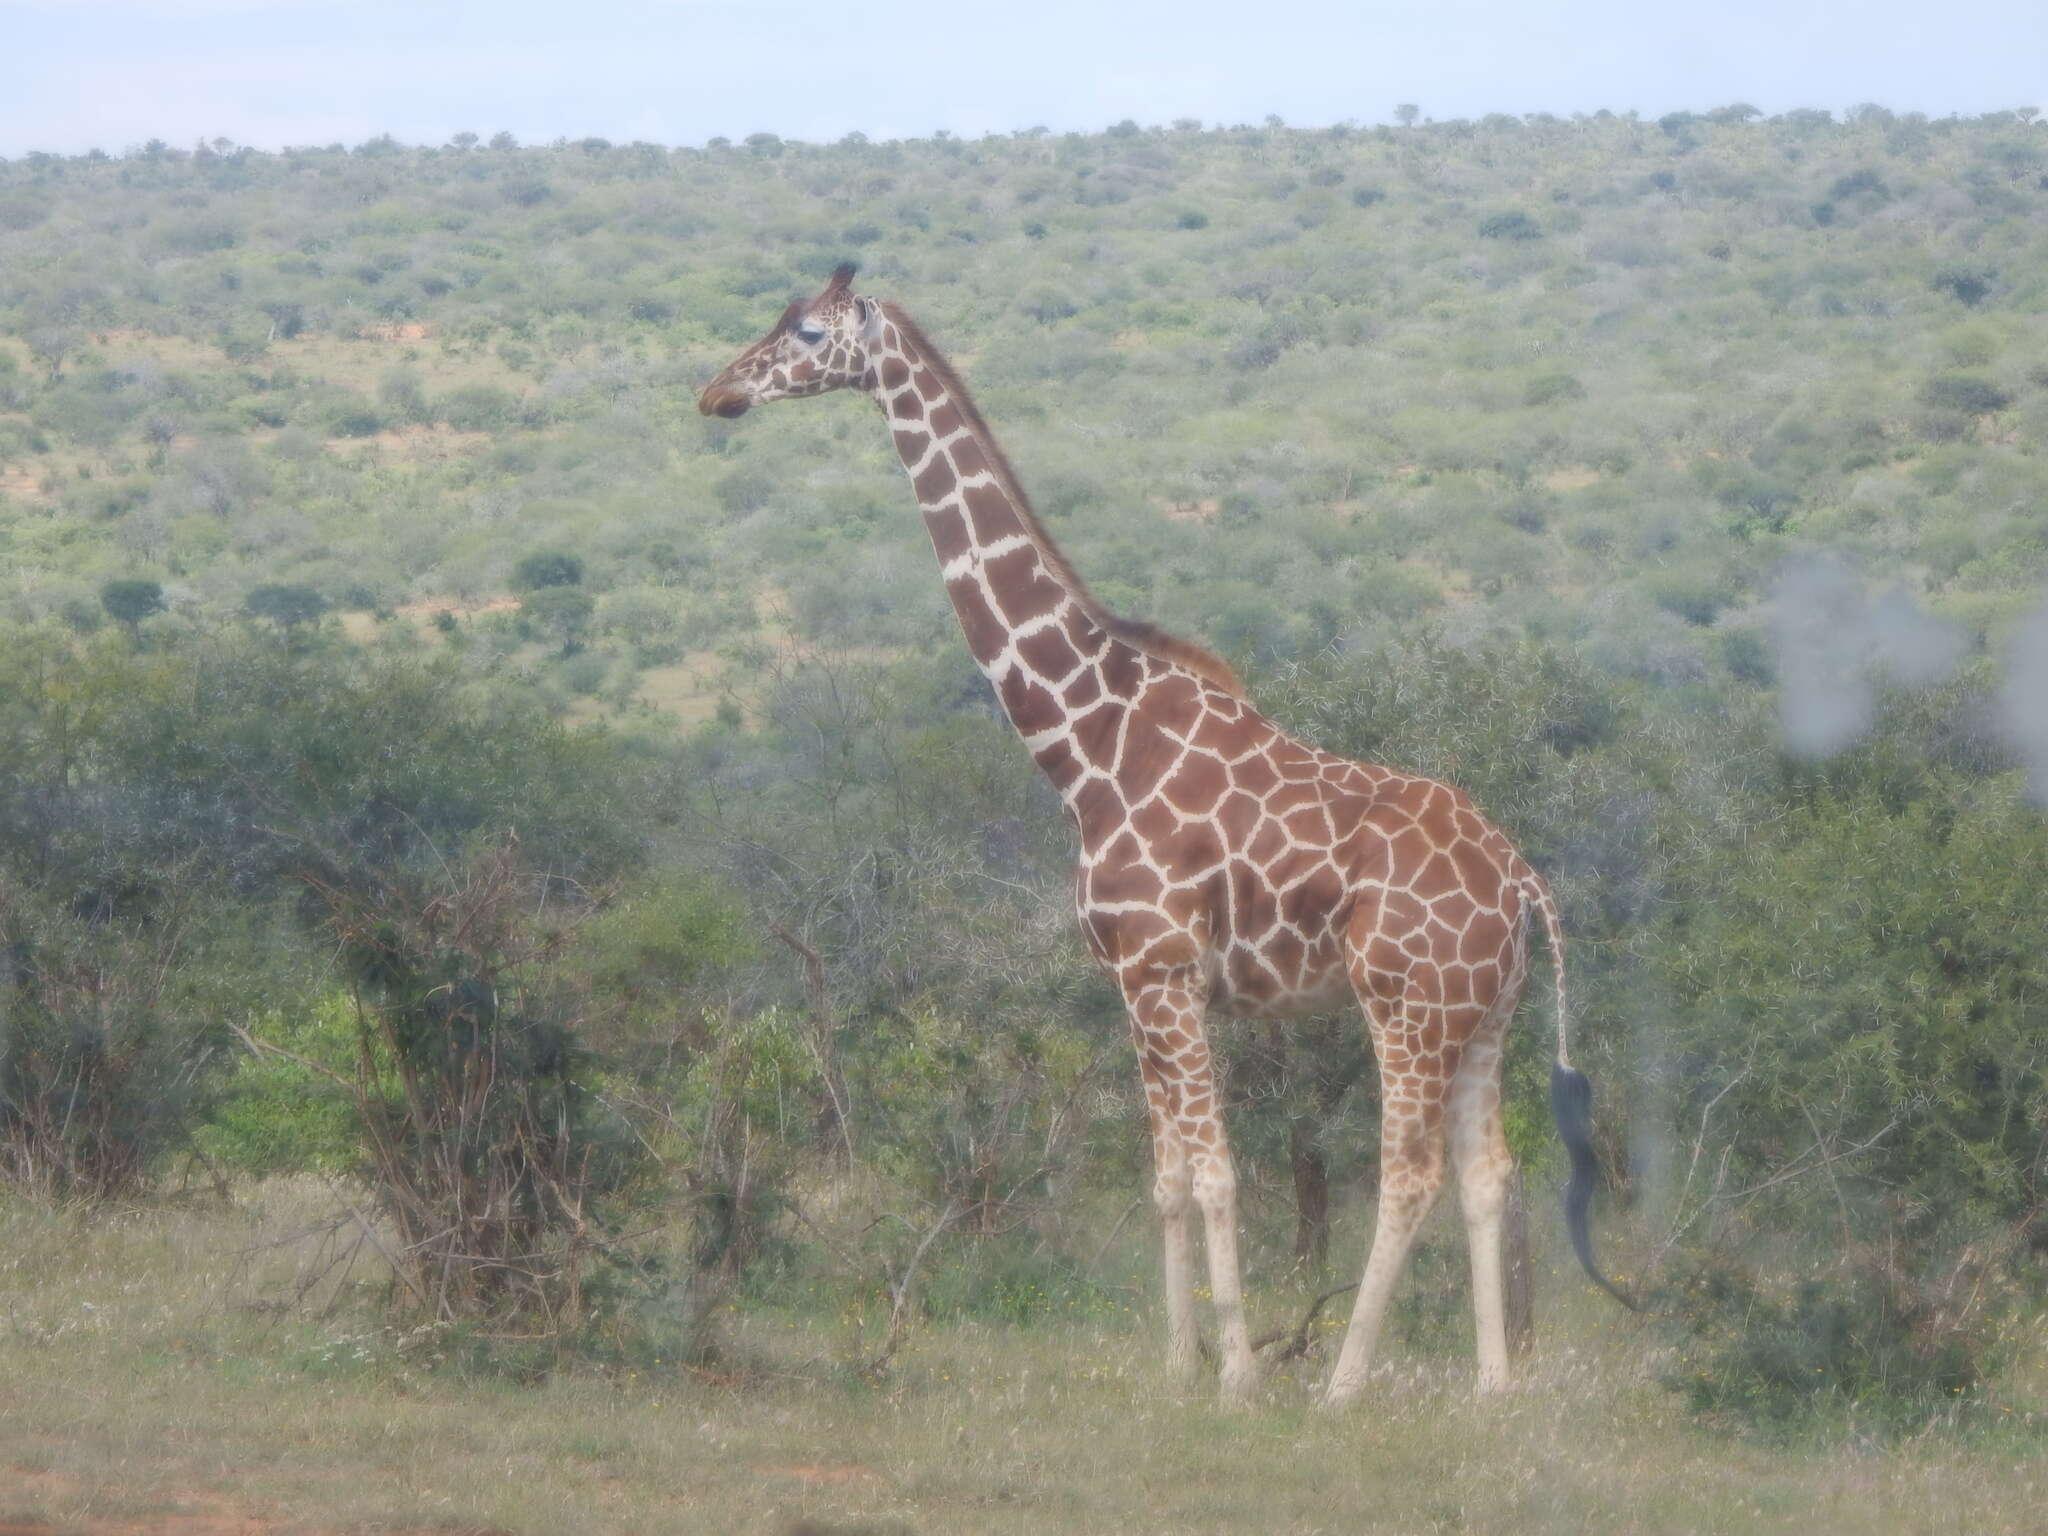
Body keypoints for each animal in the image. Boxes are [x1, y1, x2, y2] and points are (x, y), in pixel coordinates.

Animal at [704, 264, 1630, 1409]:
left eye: (806, 331)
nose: (718, 392)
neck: (1085, 740)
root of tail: (1523, 885)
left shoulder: (1164, 970)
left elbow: (1217, 1171)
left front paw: (1234, 1373)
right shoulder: (1131, 984)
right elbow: (1167, 1178)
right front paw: (1176, 1363)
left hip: (1403, 1008)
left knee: (1407, 1175)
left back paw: (1341, 1384)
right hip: (1482, 1016)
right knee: (1486, 1174)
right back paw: (1492, 1386)